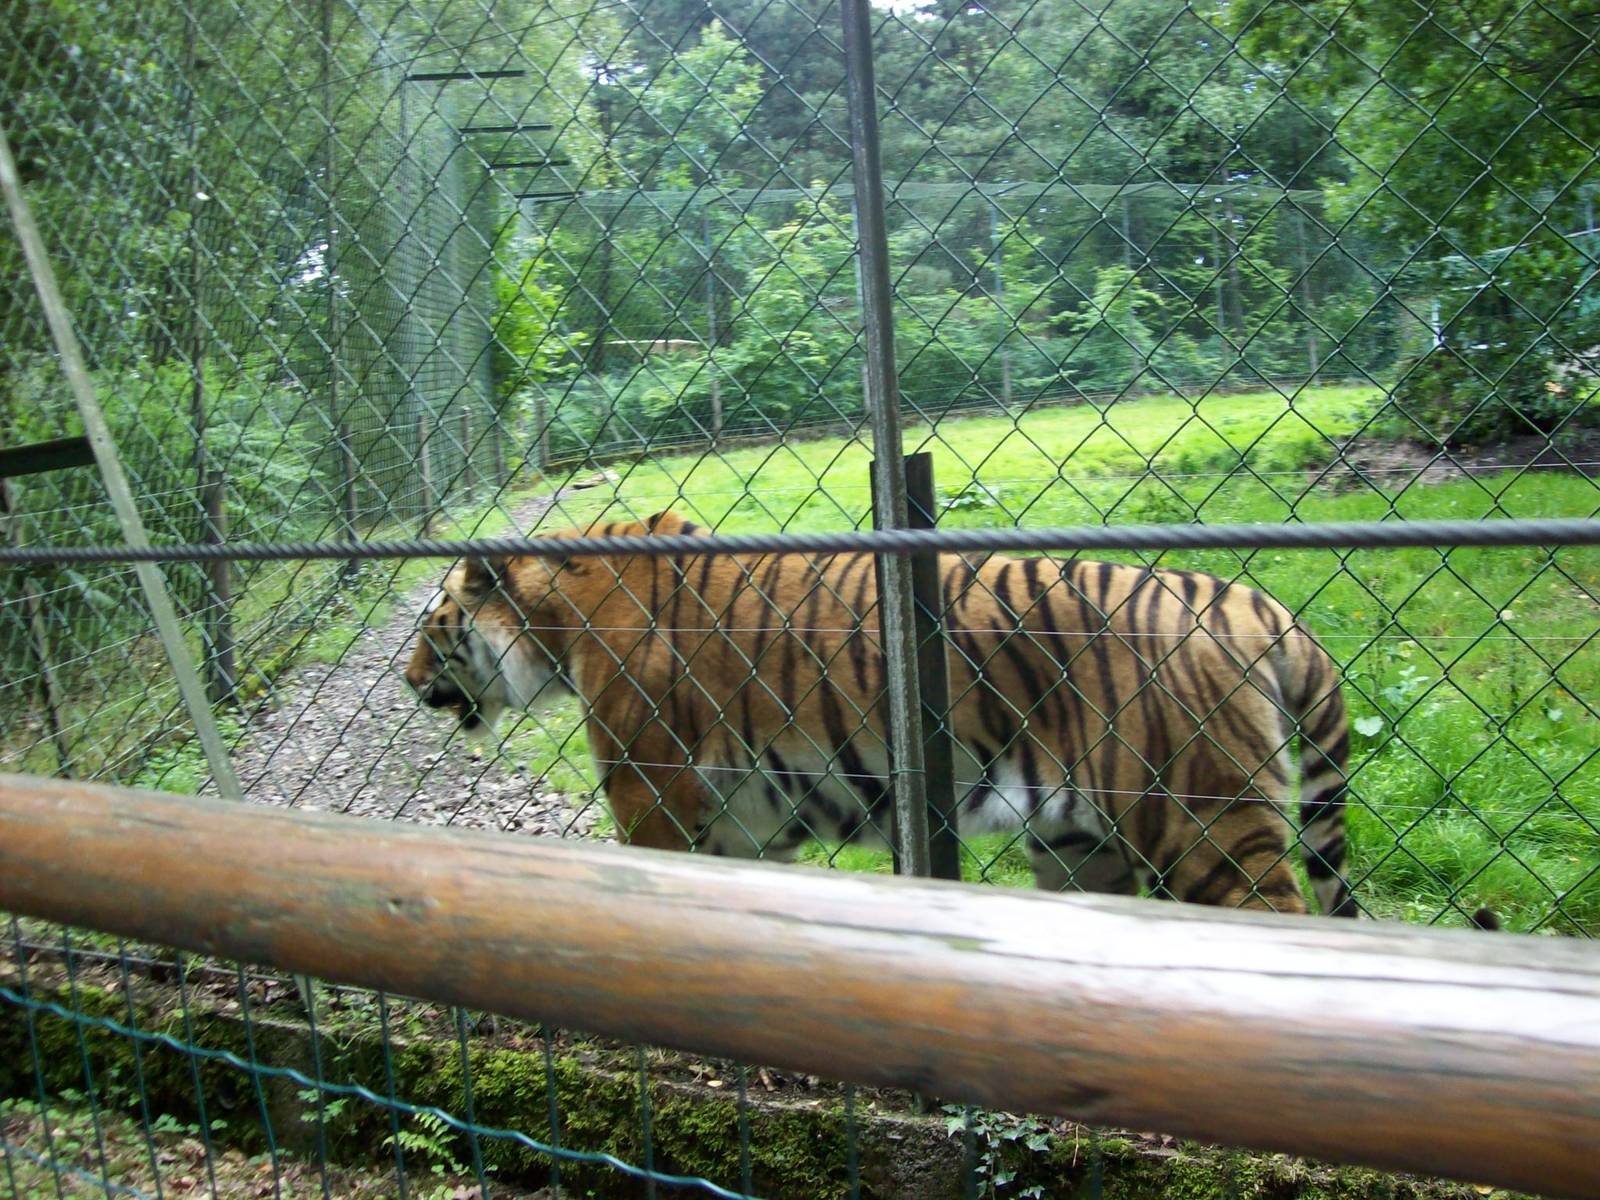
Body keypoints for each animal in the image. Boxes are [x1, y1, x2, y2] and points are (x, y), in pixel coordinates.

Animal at [404, 509, 1357, 916]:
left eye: (430, 625)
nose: (408, 678)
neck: (553, 624)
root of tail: (1260, 604)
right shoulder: (747, 821)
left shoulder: (654, 791)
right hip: (1078, 844)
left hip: (1203, 825)